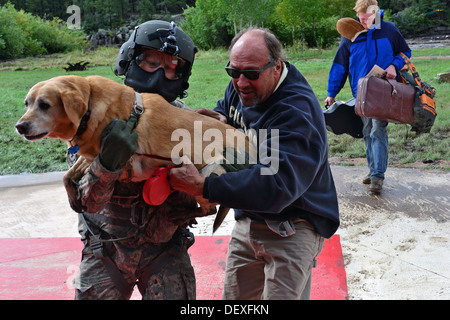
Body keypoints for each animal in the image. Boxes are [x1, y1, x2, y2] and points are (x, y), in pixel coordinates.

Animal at [15, 75, 255, 230]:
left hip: (208, 172)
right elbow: (69, 174)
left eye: (44, 104)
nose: (20, 126)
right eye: (27, 103)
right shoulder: (98, 156)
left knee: (209, 210)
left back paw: (181, 213)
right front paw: (72, 195)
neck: (91, 106)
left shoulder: (126, 165)